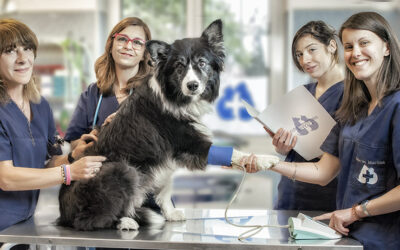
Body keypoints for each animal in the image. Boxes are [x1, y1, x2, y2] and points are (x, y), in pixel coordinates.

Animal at [57, 20, 225, 231]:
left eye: (202, 63)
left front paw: (170, 213)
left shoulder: (167, 155)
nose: (192, 85)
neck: (175, 96)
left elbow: (165, 187)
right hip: (122, 169)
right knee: (89, 219)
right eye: (179, 66)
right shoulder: (190, 142)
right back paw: (125, 221)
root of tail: (63, 215)